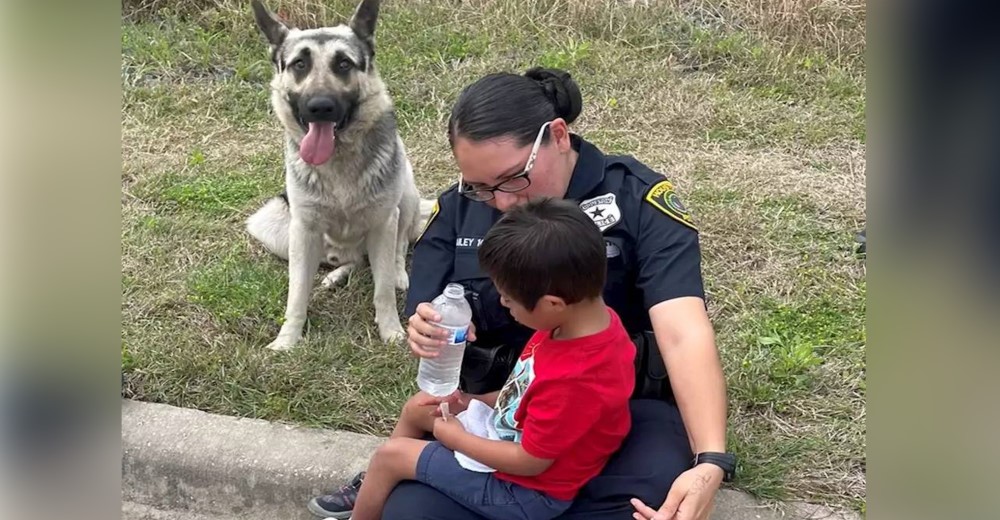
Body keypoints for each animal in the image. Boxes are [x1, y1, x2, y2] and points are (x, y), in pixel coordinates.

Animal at [250, 0, 426, 352]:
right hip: (272, 225)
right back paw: (335, 274)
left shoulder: (383, 223)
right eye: (299, 64)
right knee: (350, 261)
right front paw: (287, 339)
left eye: (343, 63)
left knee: (398, 247)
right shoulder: (303, 231)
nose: (320, 107)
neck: (339, 159)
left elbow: (383, 288)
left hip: (406, 194)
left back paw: (398, 273)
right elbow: (296, 294)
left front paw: (390, 331)